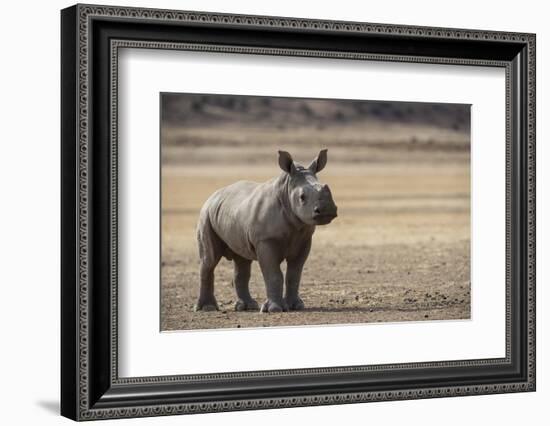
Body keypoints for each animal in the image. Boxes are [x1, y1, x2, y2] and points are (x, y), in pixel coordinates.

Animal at [196, 150, 338, 312]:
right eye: (302, 197)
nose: (327, 210)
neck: (286, 190)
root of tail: (213, 195)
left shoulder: (304, 239)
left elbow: (294, 274)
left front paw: (296, 306)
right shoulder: (265, 240)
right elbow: (274, 274)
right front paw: (274, 309)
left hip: (231, 212)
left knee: (242, 260)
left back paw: (247, 306)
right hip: (206, 214)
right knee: (209, 260)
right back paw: (207, 308)